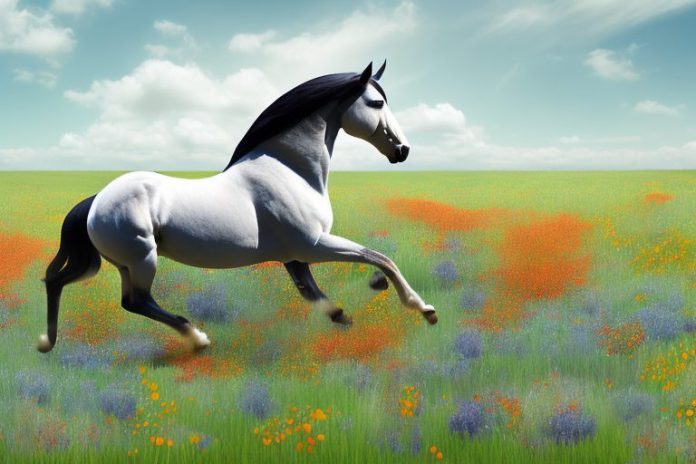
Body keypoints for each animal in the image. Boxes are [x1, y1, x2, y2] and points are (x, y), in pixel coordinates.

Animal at [37, 61, 438, 354]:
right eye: (377, 103)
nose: (402, 150)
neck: (290, 170)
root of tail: (95, 202)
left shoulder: (295, 256)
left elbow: (314, 291)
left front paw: (346, 312)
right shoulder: (313, 244)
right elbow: (380, 257)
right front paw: (423, 309)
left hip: (118, 264)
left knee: (67, 284)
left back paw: (47, 342)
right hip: (141, 259)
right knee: (136, 301)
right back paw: (197, 338)